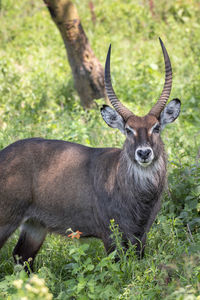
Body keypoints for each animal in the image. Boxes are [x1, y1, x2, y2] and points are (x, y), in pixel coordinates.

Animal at [0, 38, 181, 270]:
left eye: (156, 127)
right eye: (128, 130)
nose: (143, 153)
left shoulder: (141, 236)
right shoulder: (110, 235)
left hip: (35, 226)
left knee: (21, 258)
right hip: (5, 220)